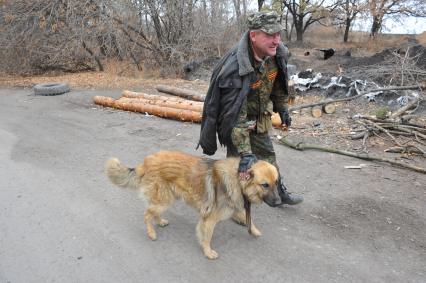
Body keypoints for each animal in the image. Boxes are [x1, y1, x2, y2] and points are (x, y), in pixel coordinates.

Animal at [105, 152, 282, 260]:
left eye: (276, 182)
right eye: (265, 185)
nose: (279, 202)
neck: (238, 178)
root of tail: (146, 161)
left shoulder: (232, 207)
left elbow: (247, 218)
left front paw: (254, 230)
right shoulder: (209, 220)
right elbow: (207, 237)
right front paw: (208, 252)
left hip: (166, 199)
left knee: (152, 212)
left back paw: (160, 222)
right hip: (164, 201)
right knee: (147, 214)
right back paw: (151, 233)